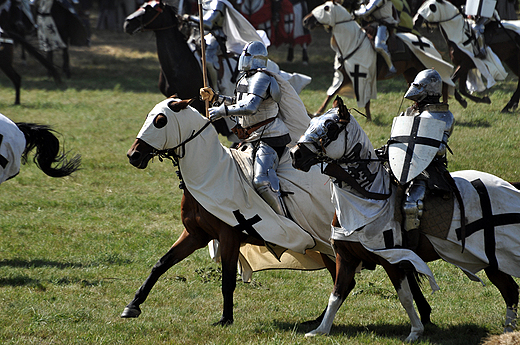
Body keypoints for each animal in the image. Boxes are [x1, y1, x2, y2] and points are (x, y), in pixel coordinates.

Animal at [120, 96, 432, 326]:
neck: (211, 173)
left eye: (160, 120)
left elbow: (228, 280)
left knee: (389, 267)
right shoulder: (195, 235)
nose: (133, 156)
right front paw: (132, 305)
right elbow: (160, 264)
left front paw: (225, 318)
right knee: (354, 276)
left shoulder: (231, 235)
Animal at [290, 94, 520, 342]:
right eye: (312, 122)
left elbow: (405, 297)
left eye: (331, 127)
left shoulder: (392, 259)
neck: (367, 201)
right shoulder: (346, 257)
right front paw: (320, 330)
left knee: (510, 290)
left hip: (495, 256)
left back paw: (508, 332)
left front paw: (415, 332)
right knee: (510, 289)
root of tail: (509, 186)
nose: (295, 154)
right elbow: (337, 293)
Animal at [302, 1, 452, 119]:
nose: (305, 20)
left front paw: (368, 118)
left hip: (425, 67)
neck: (351, 42)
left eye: (326, 8)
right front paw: (317, 113)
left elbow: (365, 99)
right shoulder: (345, 76)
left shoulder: (363, 76)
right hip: (411, 72)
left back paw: (443, 105)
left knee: (443, 84)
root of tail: (428, 42)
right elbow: (331, 93)